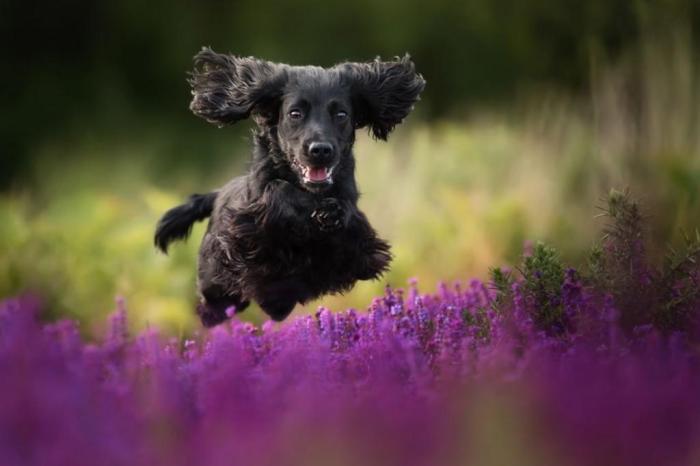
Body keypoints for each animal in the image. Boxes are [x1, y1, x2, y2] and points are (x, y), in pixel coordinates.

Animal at [155, 45, 424, 326]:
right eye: (295, 113)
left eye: (341, 114)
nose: (320, 150)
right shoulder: (248, 229)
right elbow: (278, 190)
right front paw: (315, 211)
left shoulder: (357, 244)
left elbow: (349, 215)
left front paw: (333, 212)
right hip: (216, 282)